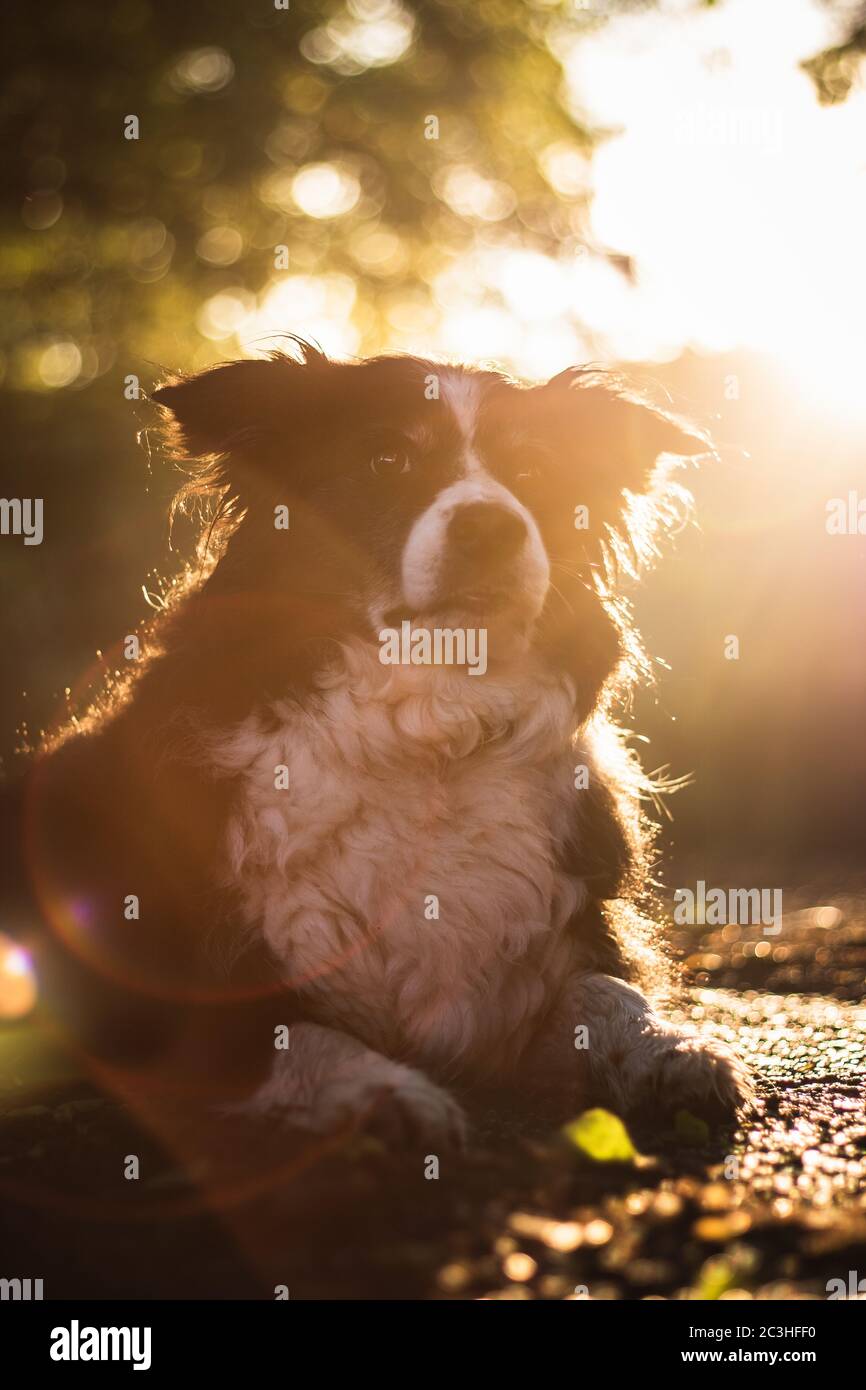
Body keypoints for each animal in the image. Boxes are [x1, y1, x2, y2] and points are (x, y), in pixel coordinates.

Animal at [1, 341, 750, 1145]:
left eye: (532, 473)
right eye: (387, 459)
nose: (492, 527)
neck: (427, 732)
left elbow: (607, 990)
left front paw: (674, 1047)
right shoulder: (162, 990)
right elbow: (294, 1036)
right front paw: (381, 1097)